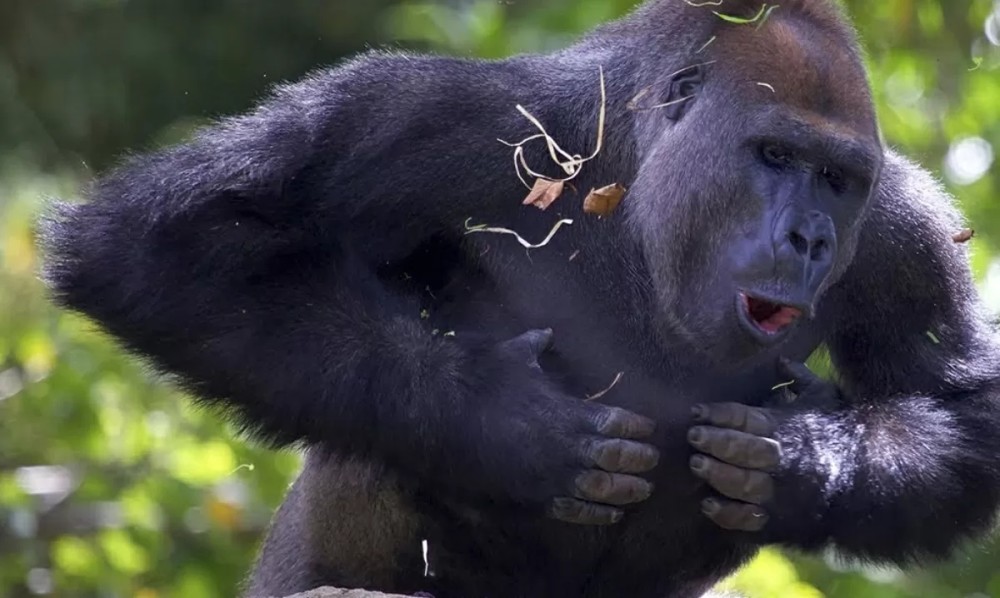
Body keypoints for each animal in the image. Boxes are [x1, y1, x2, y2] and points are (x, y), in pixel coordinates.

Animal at [37, 1, 1000, 598]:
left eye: (837, 181)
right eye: (773, 156)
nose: (811, 239)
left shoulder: (901, 227)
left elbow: (966, 413)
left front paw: (801, 461)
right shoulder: (448, 115)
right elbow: (166, 244)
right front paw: (511, 426)